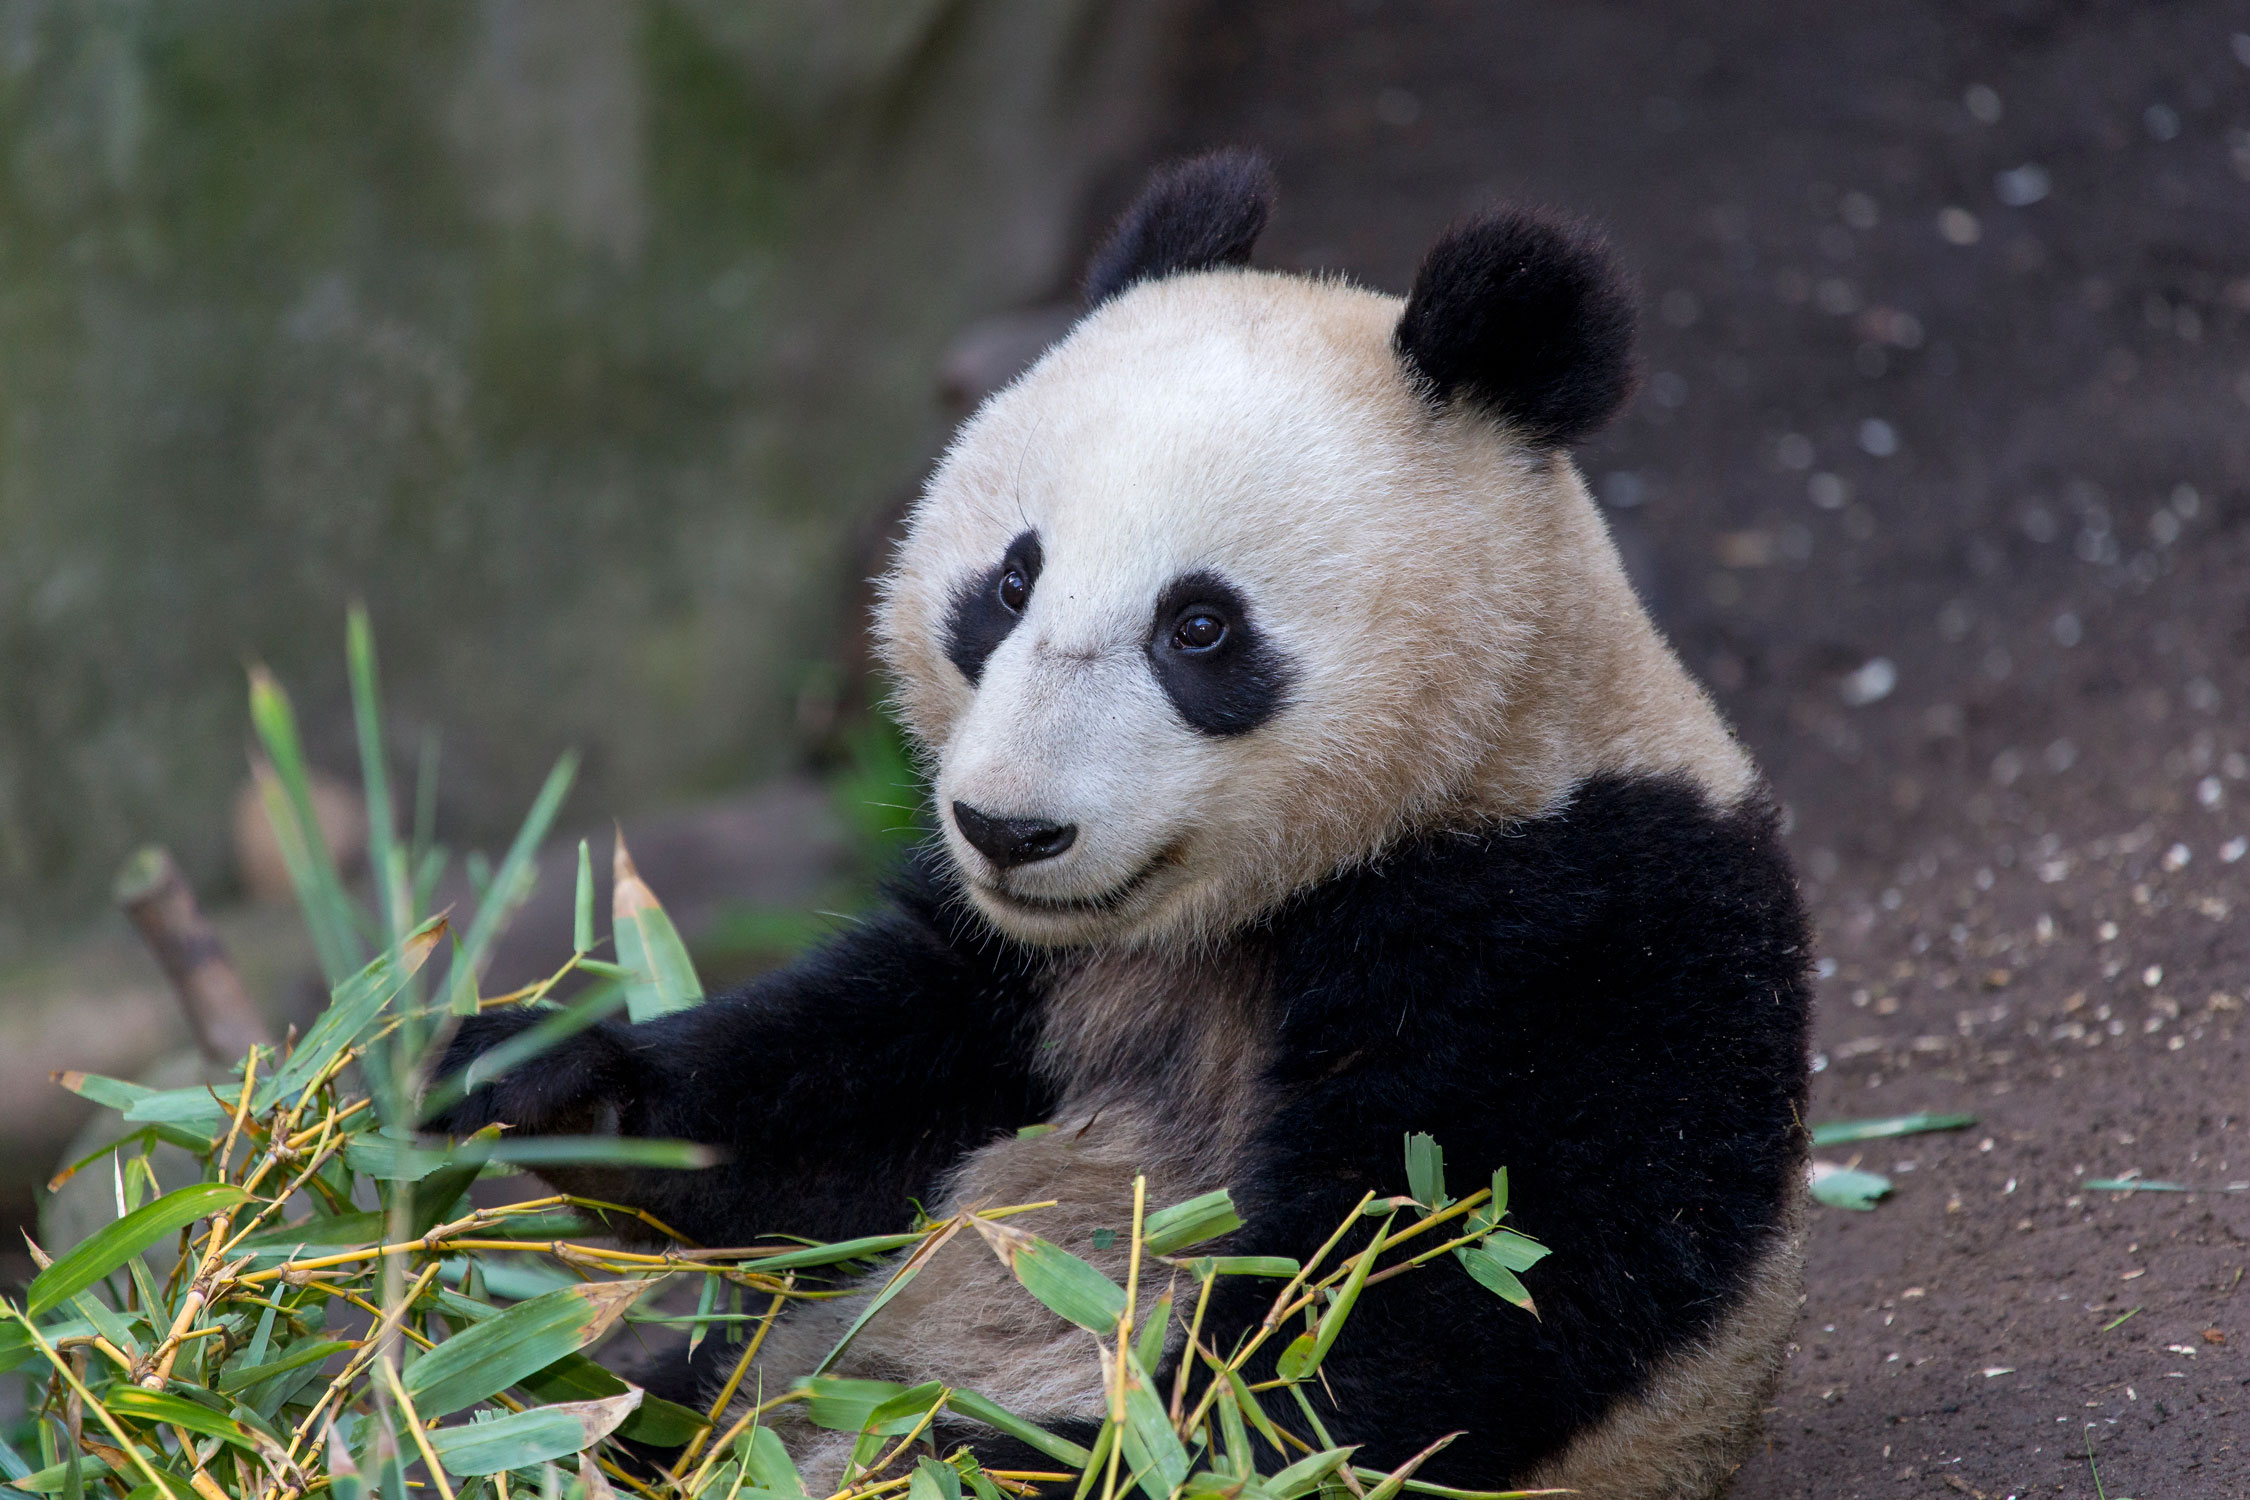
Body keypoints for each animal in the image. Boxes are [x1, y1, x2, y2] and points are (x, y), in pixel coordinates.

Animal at [437, 151, 1811, 1500]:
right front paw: (530, 1077)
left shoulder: (1585, 917)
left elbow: (1421, 1293)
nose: (1008, 829)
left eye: (1199, 628)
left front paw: (999, 1456)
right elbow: (839, 1111)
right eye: (1008, 583)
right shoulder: (1009, 971)